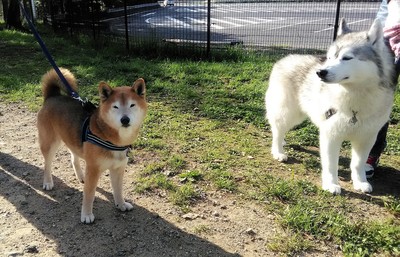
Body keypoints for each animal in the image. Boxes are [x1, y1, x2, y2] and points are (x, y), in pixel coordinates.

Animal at [36, 68, 147, 222]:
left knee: (74, 157)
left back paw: (81, 176)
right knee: (47, 163)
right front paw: (87, 215)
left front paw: (121, 204)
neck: (111, 139)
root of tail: (52, 96)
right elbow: (89, 194)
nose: (125, 119)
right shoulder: (94, 169)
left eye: (132, 105)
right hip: (50, 143)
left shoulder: (118, 168)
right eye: (115, 106)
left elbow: (118, 190)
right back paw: (47, 182)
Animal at [266, 18, 394, 193]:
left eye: (347, 58)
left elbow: (358, 164)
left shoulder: (366, 138)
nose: (320, 72)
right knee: (277, 130)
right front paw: (331, 184)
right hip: (288, 113)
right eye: (329, 57)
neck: (355, 96)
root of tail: (285, 58)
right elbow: (331, 164)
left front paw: (360, 182)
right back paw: (278, 150)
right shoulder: (331, 135)